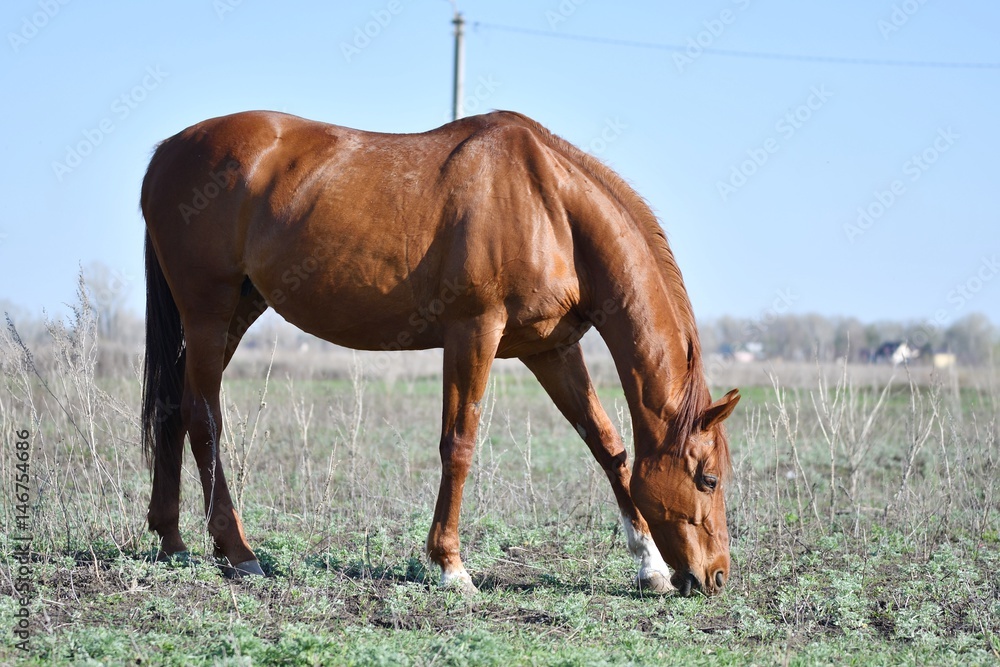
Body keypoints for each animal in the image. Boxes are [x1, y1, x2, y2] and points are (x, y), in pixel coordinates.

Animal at [140, 110, 740, 596]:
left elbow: (607, 445)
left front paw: (650, 566)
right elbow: (460, 444)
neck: (551, 206)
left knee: (173, 409)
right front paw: (451, 566)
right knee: (204, 419)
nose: (716, 576)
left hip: (235, 312)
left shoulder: (551, 349)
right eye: (708, 478)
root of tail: (166, 152)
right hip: (209, 312)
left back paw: (172, 540)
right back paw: (238, 552)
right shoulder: (473, 332)